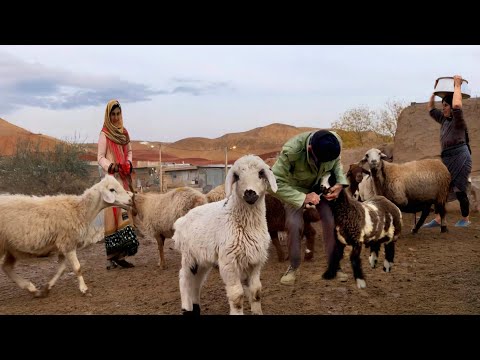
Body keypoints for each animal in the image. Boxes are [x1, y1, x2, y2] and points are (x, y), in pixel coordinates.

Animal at [0, 176, 132, 296]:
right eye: (112, 189)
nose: (131, 199)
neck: (80, 210)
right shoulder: (68, 243)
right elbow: (77, 267)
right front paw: (84, 289)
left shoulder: (62, 245)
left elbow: (62, 269)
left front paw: (47, 287)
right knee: (6, 267)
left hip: (11, 247)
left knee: (6, 267)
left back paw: (30, 287)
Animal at [172, 155, 278, 316]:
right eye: (237, 176)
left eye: (261, 173)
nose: (250, 193)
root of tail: (182, 220)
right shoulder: (229, 263)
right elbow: (237, 296)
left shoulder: (255, 261)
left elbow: (256, 292)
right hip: (189, 255)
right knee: (184, 279)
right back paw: (186, 308)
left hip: (203, 259)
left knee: (197, 282)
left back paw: (196, 307)